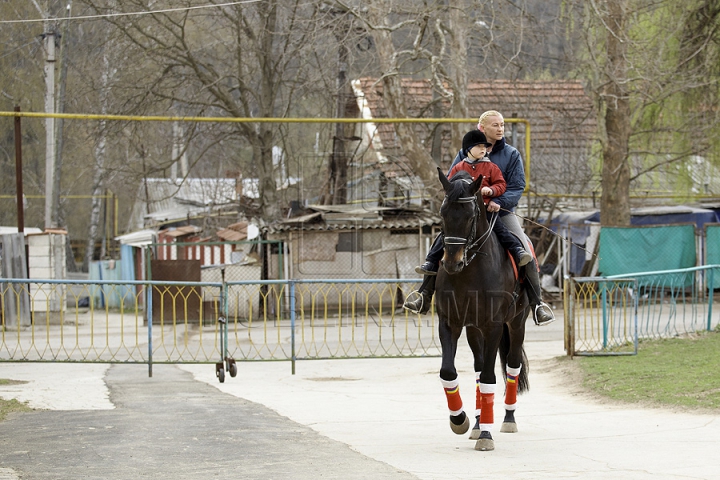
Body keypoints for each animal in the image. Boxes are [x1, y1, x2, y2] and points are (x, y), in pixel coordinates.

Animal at [430, 167, 532, 452]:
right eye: (443, 213)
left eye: (469, 216)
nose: (451, 263)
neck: (469, 272)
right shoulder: (450, 323)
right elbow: (448, 372)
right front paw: (460, 420)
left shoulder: (494, 326)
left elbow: (489, 378)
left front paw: (487, 434)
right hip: (474, 330)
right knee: (477, 369)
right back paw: (476, 423)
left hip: (516, 324)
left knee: (512, 367)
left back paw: (508, 419)